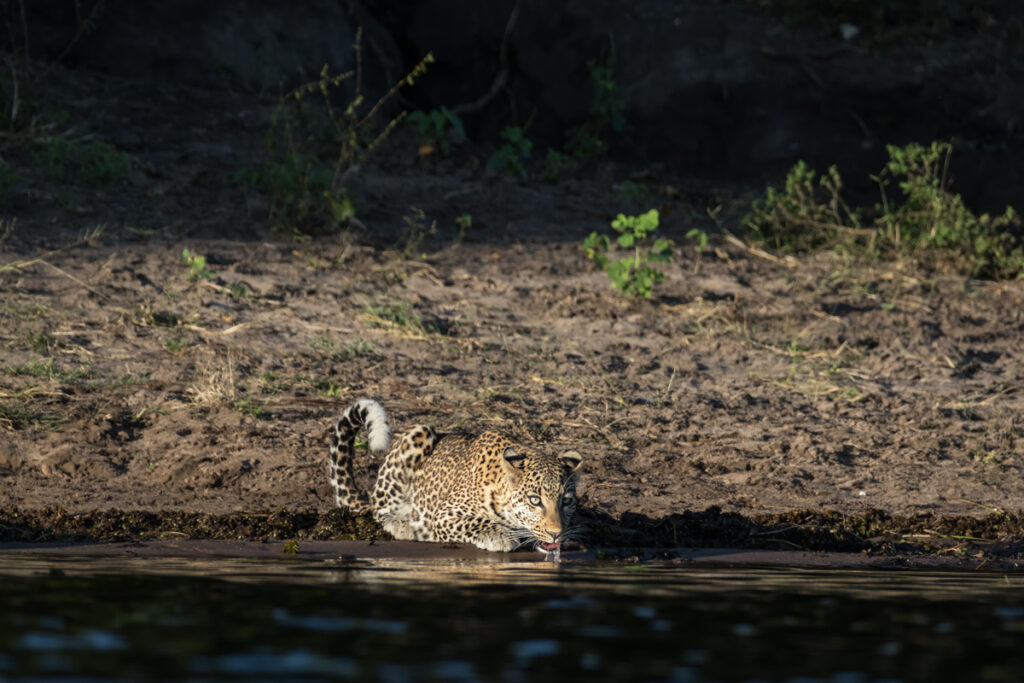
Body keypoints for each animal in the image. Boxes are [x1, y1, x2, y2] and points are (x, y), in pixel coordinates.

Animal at [327, 397, 585, 552]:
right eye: (534, 500)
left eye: (566, 501)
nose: (556, 534)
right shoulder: (445, 514)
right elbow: (476, 522)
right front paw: (501, 535)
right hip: (419, 432)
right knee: (379, 509)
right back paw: (403, 524)